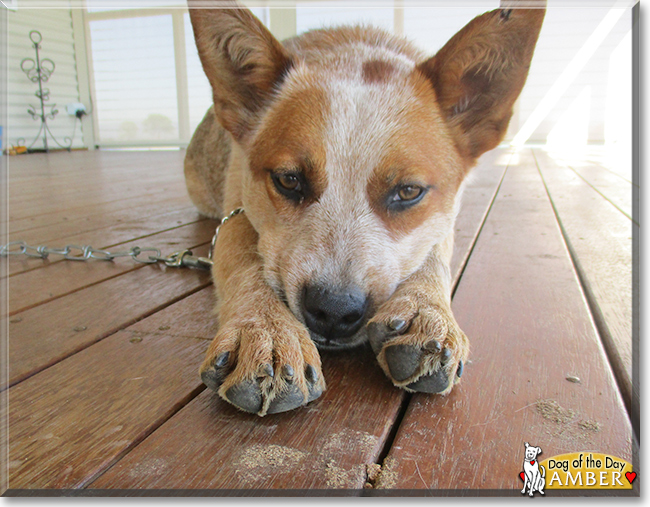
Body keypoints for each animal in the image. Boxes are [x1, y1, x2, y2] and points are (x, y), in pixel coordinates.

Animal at [182, 0, 540, 416]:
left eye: (408, 191)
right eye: (288, 180)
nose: (334, 311)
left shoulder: (446, 212)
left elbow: (434, 253)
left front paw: (428, 310)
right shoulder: (236, 205)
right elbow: (242, 255)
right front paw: (266, 330)